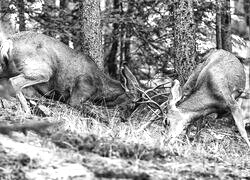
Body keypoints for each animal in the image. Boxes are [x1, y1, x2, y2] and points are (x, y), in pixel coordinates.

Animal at [0, 31, 141, 116]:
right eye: (132, 104)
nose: (124, 119)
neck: (99, 89)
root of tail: (9, 42)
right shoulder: (79, 92)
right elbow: (93, 113)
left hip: (5, 68)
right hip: (43, 71)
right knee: (15, 82)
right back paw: (27, 111)